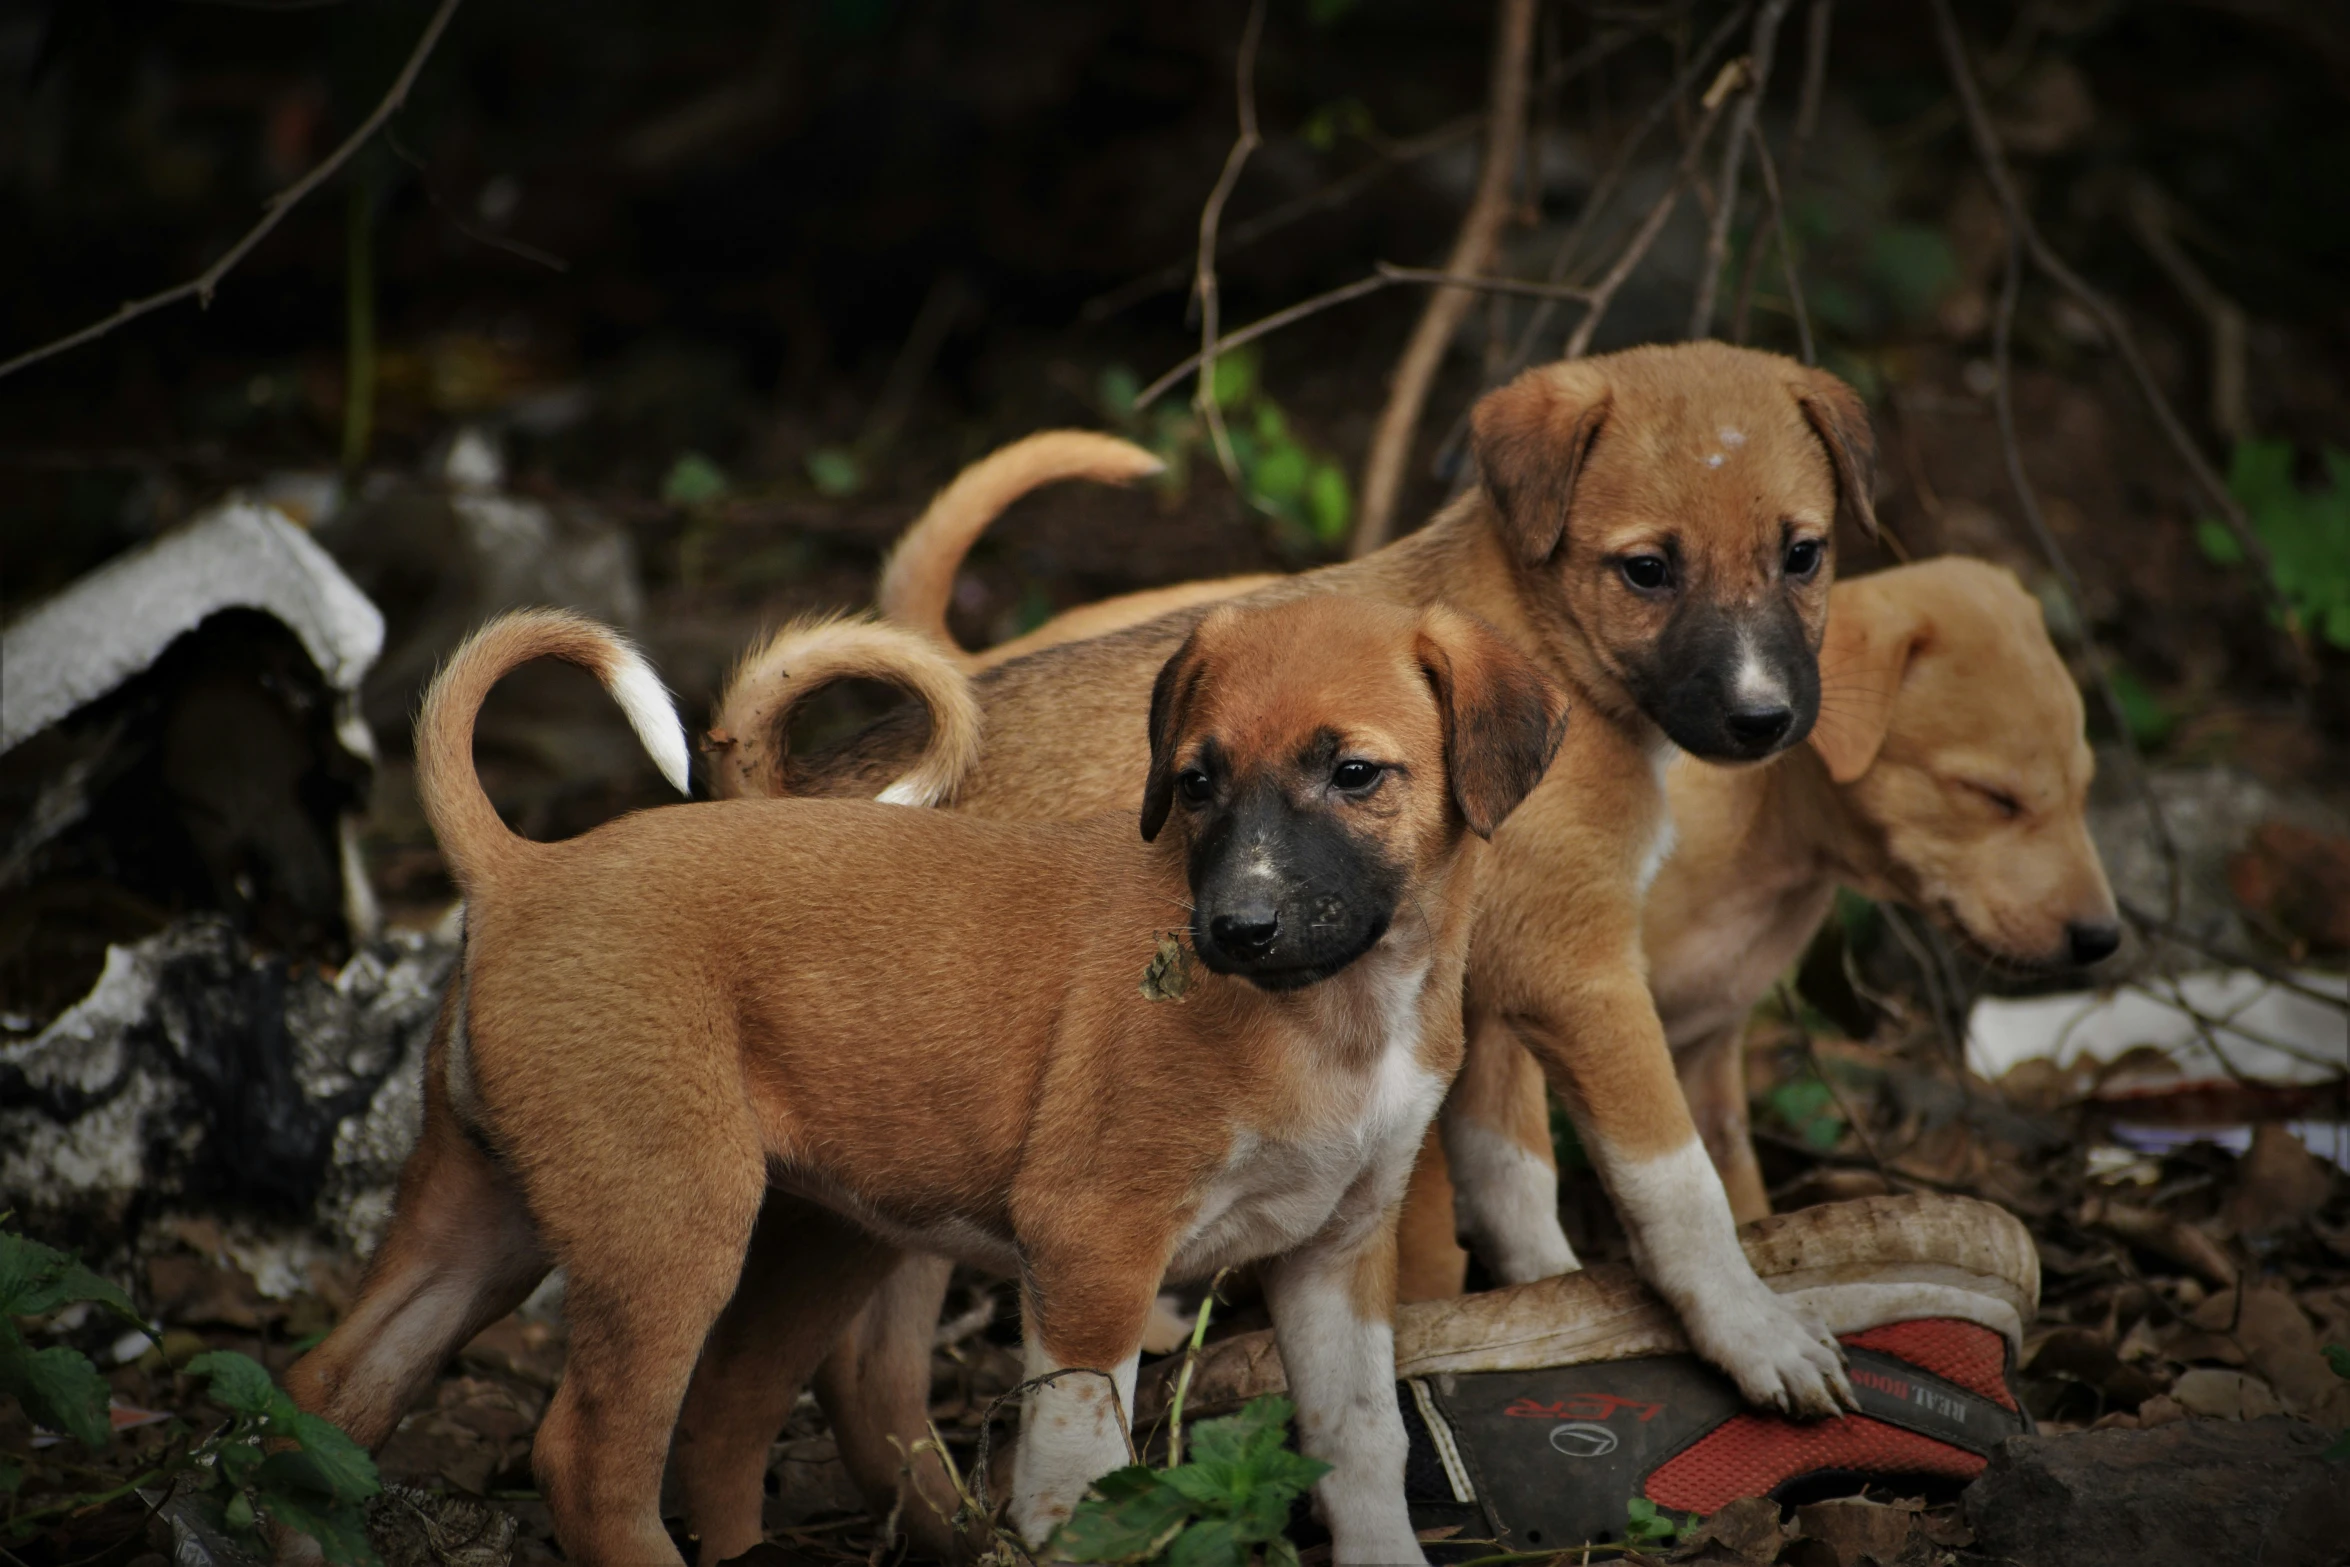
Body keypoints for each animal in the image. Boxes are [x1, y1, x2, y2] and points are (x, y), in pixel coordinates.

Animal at [298, 601, 1579, 1567]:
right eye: (1197, 783)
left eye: (1356, 774)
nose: (1234, 929)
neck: (1337, 1012)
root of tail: (522, 868)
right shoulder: (1093, 1255)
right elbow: (1080, 1479)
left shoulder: (1334, 1258)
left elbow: (1363, 1451)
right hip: (667, 1229)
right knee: (593, 1459)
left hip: (513, 1219)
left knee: (334, 1395)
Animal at [690, 340, 1870, 1541]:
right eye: (1645, 570)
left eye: (1802, 554)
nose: (1764, 722)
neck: (1541, 635)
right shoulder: (1577, 972)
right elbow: (1676, 1181)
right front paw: (1756, 1333)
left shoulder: (1481, 996)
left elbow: (1515, 1183)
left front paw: (1551, 1312)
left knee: (862, 1366)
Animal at [1391, 556, 2133, 1306]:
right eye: (1990, 796)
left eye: (2085, 786)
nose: (2102, 938)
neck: (1757, 830)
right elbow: (1426, 1241)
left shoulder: (1707, 1052)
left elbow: (1733, 1192)